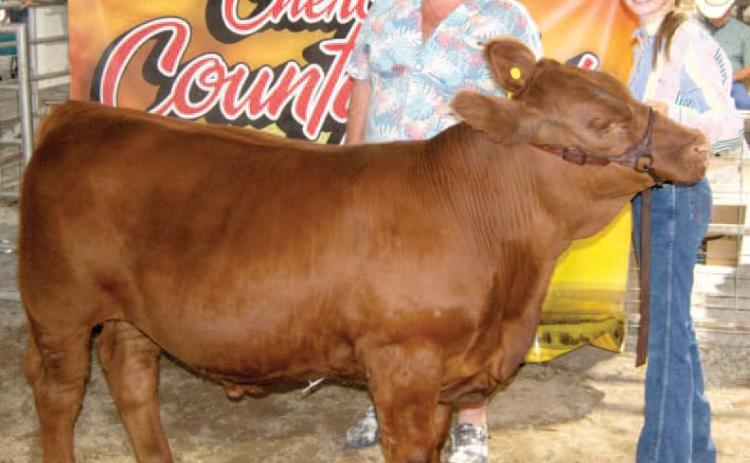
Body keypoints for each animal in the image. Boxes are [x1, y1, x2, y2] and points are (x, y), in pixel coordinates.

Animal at [18, 38, 708, 463]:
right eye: (602, 124)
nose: (699, 145)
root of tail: (76, 114)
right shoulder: (403, 366)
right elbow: (407, 448)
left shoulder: (449, 379)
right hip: (57, 309)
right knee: (60, 394)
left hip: (133, 316)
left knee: (132, 377)